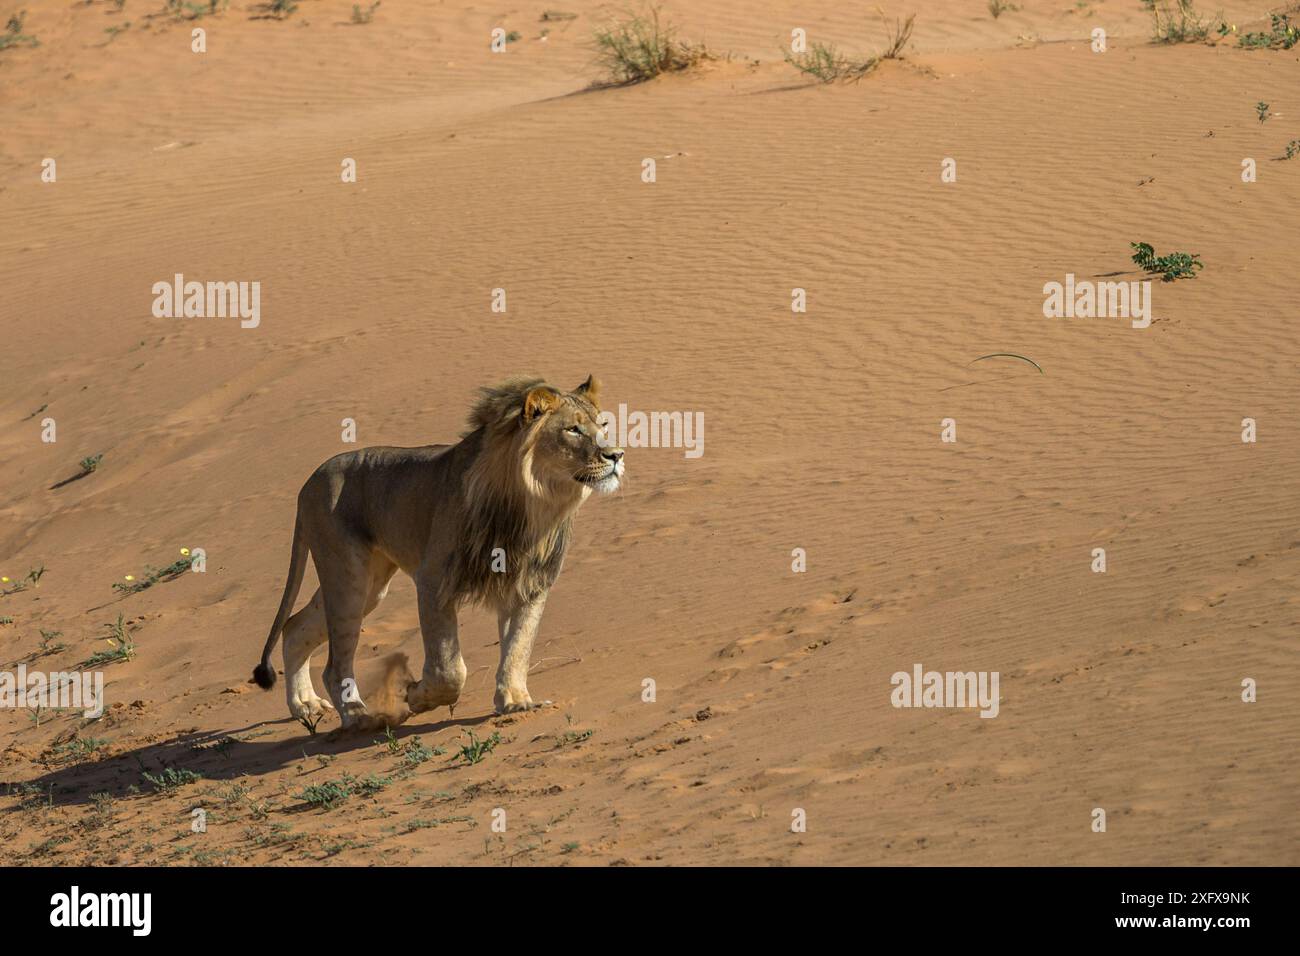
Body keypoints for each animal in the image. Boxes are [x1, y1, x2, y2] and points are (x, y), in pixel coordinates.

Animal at [250, 375, 624, 728]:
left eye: (603, 426)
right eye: (573, 429)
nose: (617, 455)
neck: (534, 504)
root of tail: (309, 482)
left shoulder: (530, 583)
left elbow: (518, 646)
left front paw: (515, 702)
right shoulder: (433, 580)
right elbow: (449, 667)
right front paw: (417, 696)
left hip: (370, 585)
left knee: (294, 627)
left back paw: (305, 705)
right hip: (348, 580)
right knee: (332, 662)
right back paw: (358, 716)